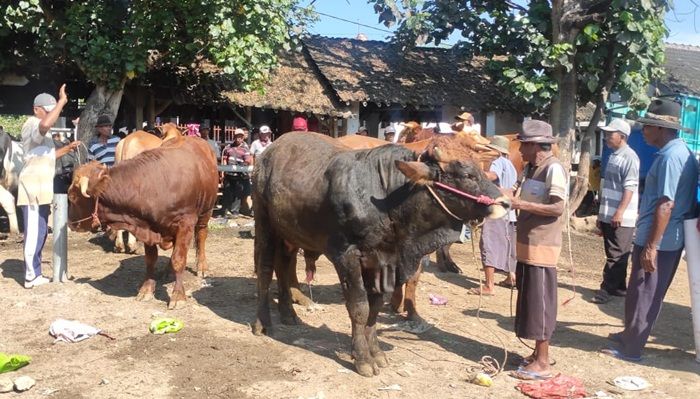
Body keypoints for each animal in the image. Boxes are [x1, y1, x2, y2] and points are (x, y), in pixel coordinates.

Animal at [67, 137, 219, 310]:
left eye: (72, 197)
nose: (70, 223)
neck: (153, 186)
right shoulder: (147, 226)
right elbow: (151, 260)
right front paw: (146, 290)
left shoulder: (185, 224)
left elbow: (179, 259)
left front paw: (178, 296)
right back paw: (168, 271)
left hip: (206, 211)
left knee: (201, 236)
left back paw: (202, 266)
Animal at [252, 132, 508, 378]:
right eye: (466, 174)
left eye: (480, 166)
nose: (506, 202)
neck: (388, 198)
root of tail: (270, 151)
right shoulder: (347, 257)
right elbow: (359, 307)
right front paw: (363, 358)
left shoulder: (385, 261)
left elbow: (375, 308)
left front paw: (376, 352)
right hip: (265, 225)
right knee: (265, 270)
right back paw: (262, 323)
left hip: (289, 235)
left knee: (283, 266)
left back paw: (288, 313)